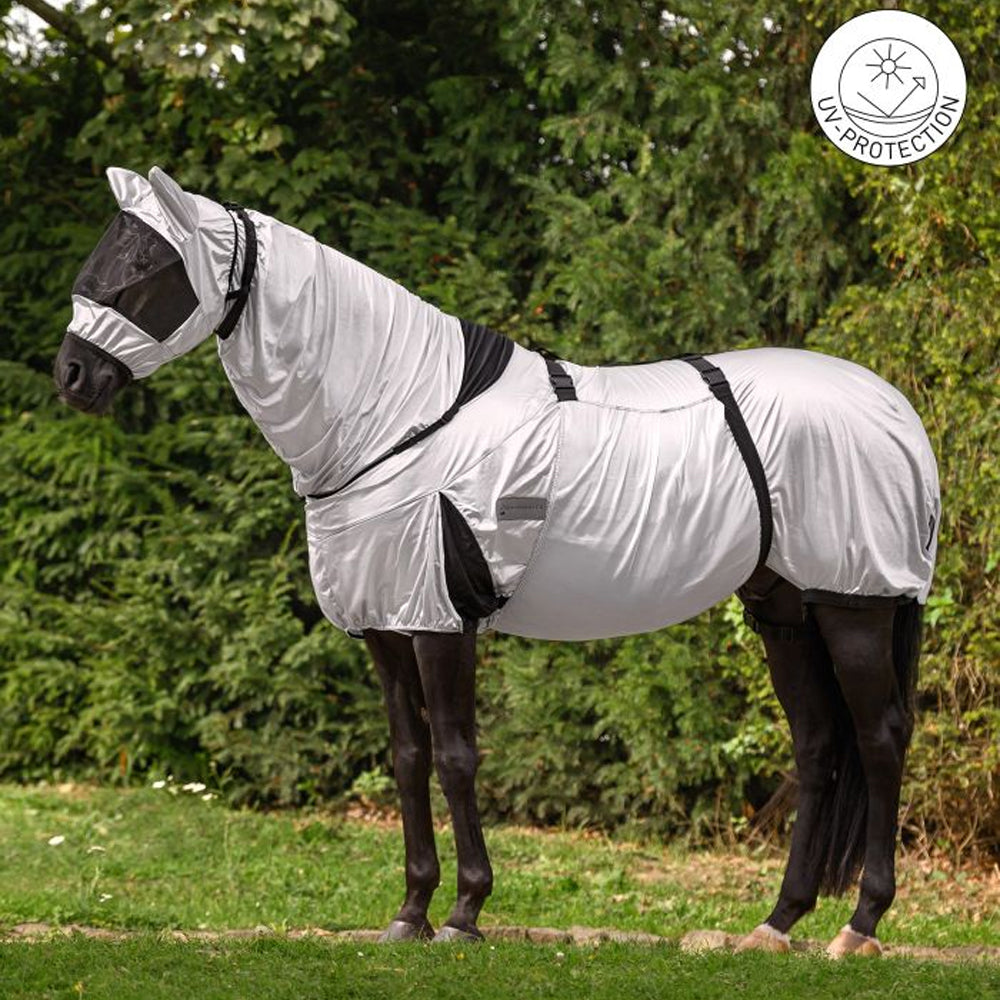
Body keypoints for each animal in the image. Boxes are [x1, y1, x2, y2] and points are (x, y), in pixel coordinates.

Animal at [53, 166, 939, 957]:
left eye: (150, 269)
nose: (71, 374)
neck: (399, 417)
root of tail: (894, 410)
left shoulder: (442, 620)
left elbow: (456, 757)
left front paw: (464, 912)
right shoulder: (386, 624)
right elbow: (409, 759)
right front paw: (410, 912)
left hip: (855, 603)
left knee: (880, 737)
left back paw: (860, 925)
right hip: (785, 610)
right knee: (818, 745)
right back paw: (777, 924)